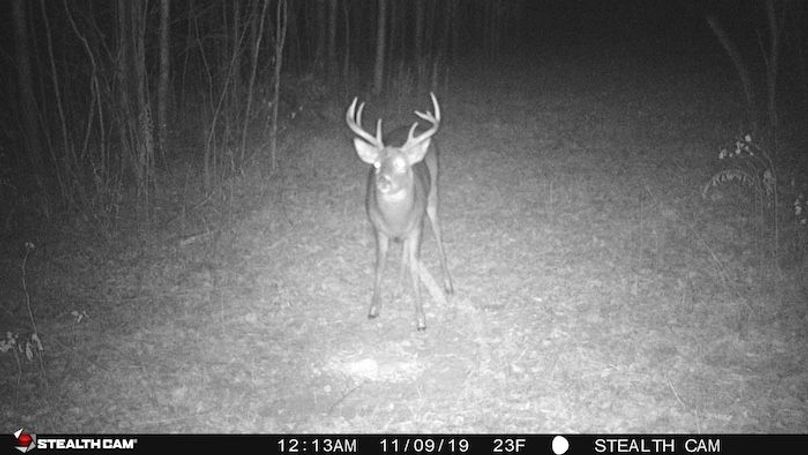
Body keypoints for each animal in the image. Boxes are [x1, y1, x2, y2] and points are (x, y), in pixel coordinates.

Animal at [346, 93, 454, 331]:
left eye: (402, 166)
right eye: (376, 165)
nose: (383, 182)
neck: (395, 220)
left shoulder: (417, 227)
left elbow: (415, 266)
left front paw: (421, 319)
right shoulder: (379, 229)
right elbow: (380, 265)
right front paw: (373, 308)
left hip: (432, 196)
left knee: (439, 234)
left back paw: (448, 284)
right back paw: (398, 289)